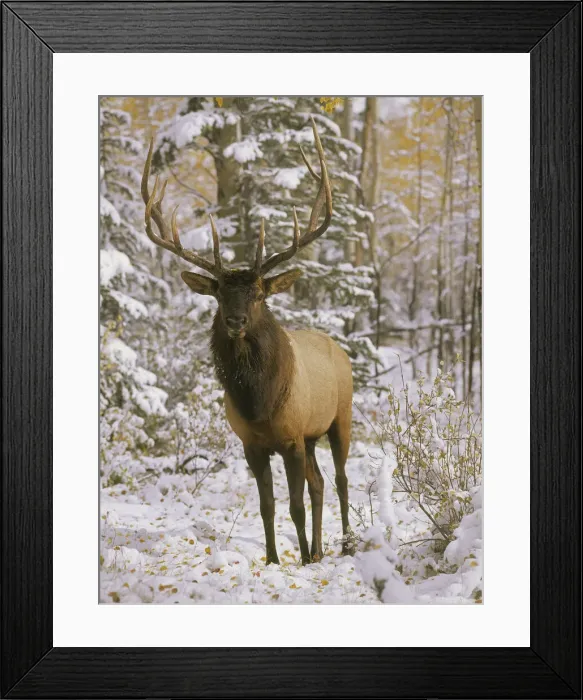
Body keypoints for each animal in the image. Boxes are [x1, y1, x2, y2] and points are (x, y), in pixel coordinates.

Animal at [141, 118, 353, 566]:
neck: (259, 403)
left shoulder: (290, 437)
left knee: (341, 479)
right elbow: (267, 505)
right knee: (321, 483)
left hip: (340, 416)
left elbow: (294, 504)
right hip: (312, 435)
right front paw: (275, 560)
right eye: (219, 294)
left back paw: (345, 544)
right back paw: (321, 550)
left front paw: (299, 559)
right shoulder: (252, 445)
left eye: (257, 293)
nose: (235, 321)